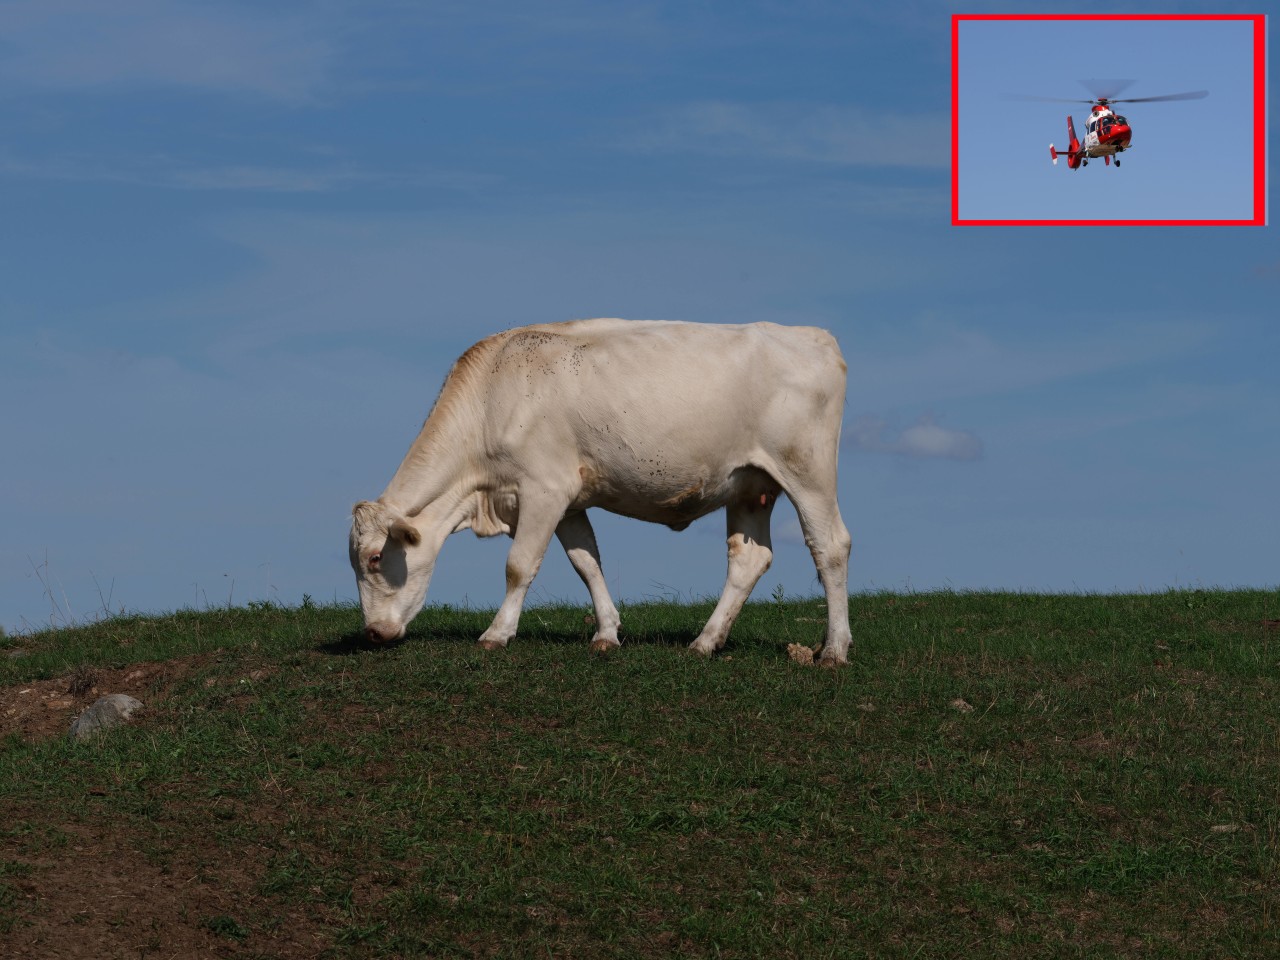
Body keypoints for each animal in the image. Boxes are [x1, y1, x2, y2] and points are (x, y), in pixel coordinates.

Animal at [345, 320, 855, 665]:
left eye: (375, 557)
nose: (372, 633)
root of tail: (813, 336)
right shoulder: (569, 499)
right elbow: (586, 562)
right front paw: (607, 633)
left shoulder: (543, 488)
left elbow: (519, 565)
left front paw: (497, 633)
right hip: (750, 485)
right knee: (749, 559)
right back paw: (705, 641)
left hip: (807, 471)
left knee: (830, 546)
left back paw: (833, 649)